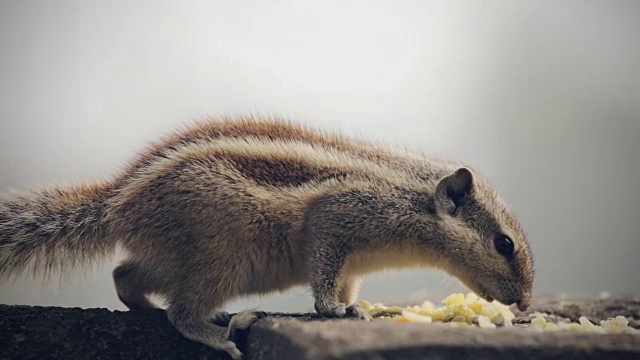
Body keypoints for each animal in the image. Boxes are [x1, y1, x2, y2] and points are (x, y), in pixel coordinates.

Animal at [0, 116, 536, 358]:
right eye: (504, 244)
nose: (526, 305)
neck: (410, 195)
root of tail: (117, 202)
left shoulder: (354, 263)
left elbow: (347, 282)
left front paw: (354, 306)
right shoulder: (339, 217)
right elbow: (324, 271)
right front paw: (334, 310)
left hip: (175, 258)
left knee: (124, 275)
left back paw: (153, 308)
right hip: (219, 255)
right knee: (180, 312)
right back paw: (220, 333)